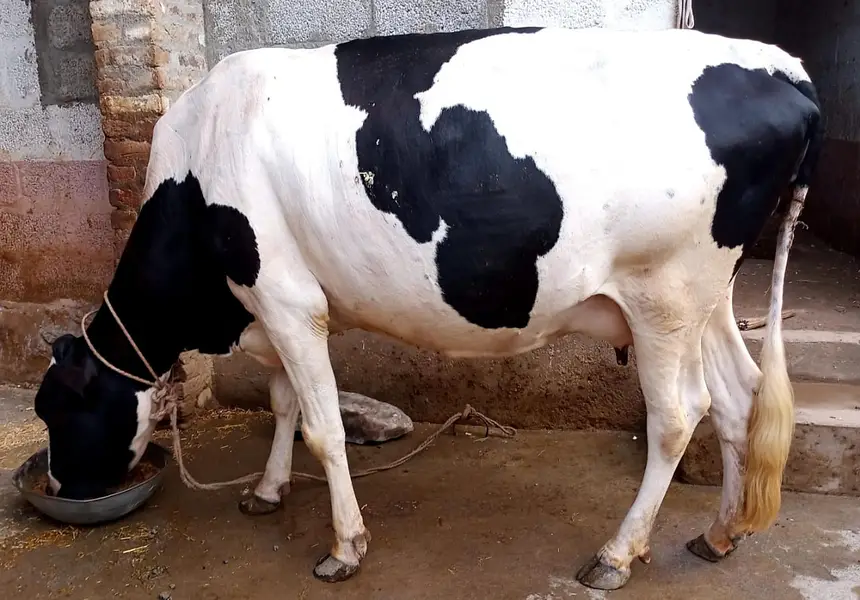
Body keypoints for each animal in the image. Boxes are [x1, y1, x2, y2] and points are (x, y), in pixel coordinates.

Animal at [33, 26, 821, 590]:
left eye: (57, 410)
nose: (61, 486)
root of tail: (778, 66)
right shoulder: (275, 305)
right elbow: (285, 404)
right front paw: (267, 491)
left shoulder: (286, 300)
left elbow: (323, 428)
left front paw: (345, 547)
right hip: (707, 296)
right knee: (738, 397)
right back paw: (720, 534)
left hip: (665, 293)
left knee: (678, 416)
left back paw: (617, 555)